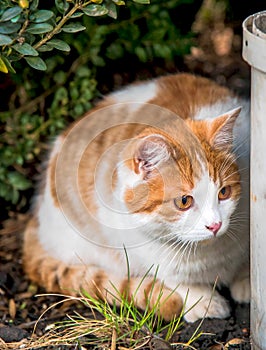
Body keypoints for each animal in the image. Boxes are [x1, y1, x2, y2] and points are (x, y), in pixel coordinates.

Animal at [22, 74, 249, 322]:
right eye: (184, 201)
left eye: (224, 193)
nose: (215, 225)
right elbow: (170, 275)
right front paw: (202, 299)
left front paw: (246, 280)